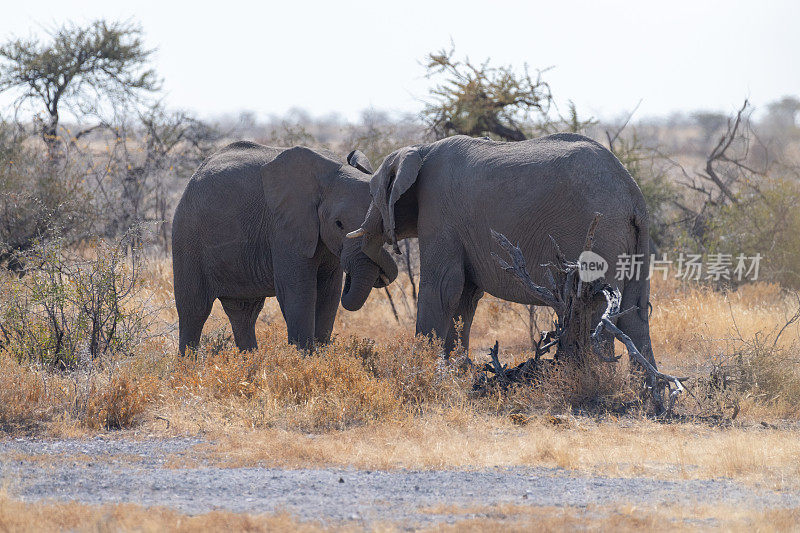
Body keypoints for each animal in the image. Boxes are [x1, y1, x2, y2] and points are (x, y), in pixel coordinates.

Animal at [175, 141, 400, 354]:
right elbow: (298, 289)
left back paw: (250, 361)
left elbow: (330, 291)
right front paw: (304, 359)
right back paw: (189, 365)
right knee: (194, 310)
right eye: (339, 224)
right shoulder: (284, 228)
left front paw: (321, 356)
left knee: (245, 312)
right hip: (188, 235)